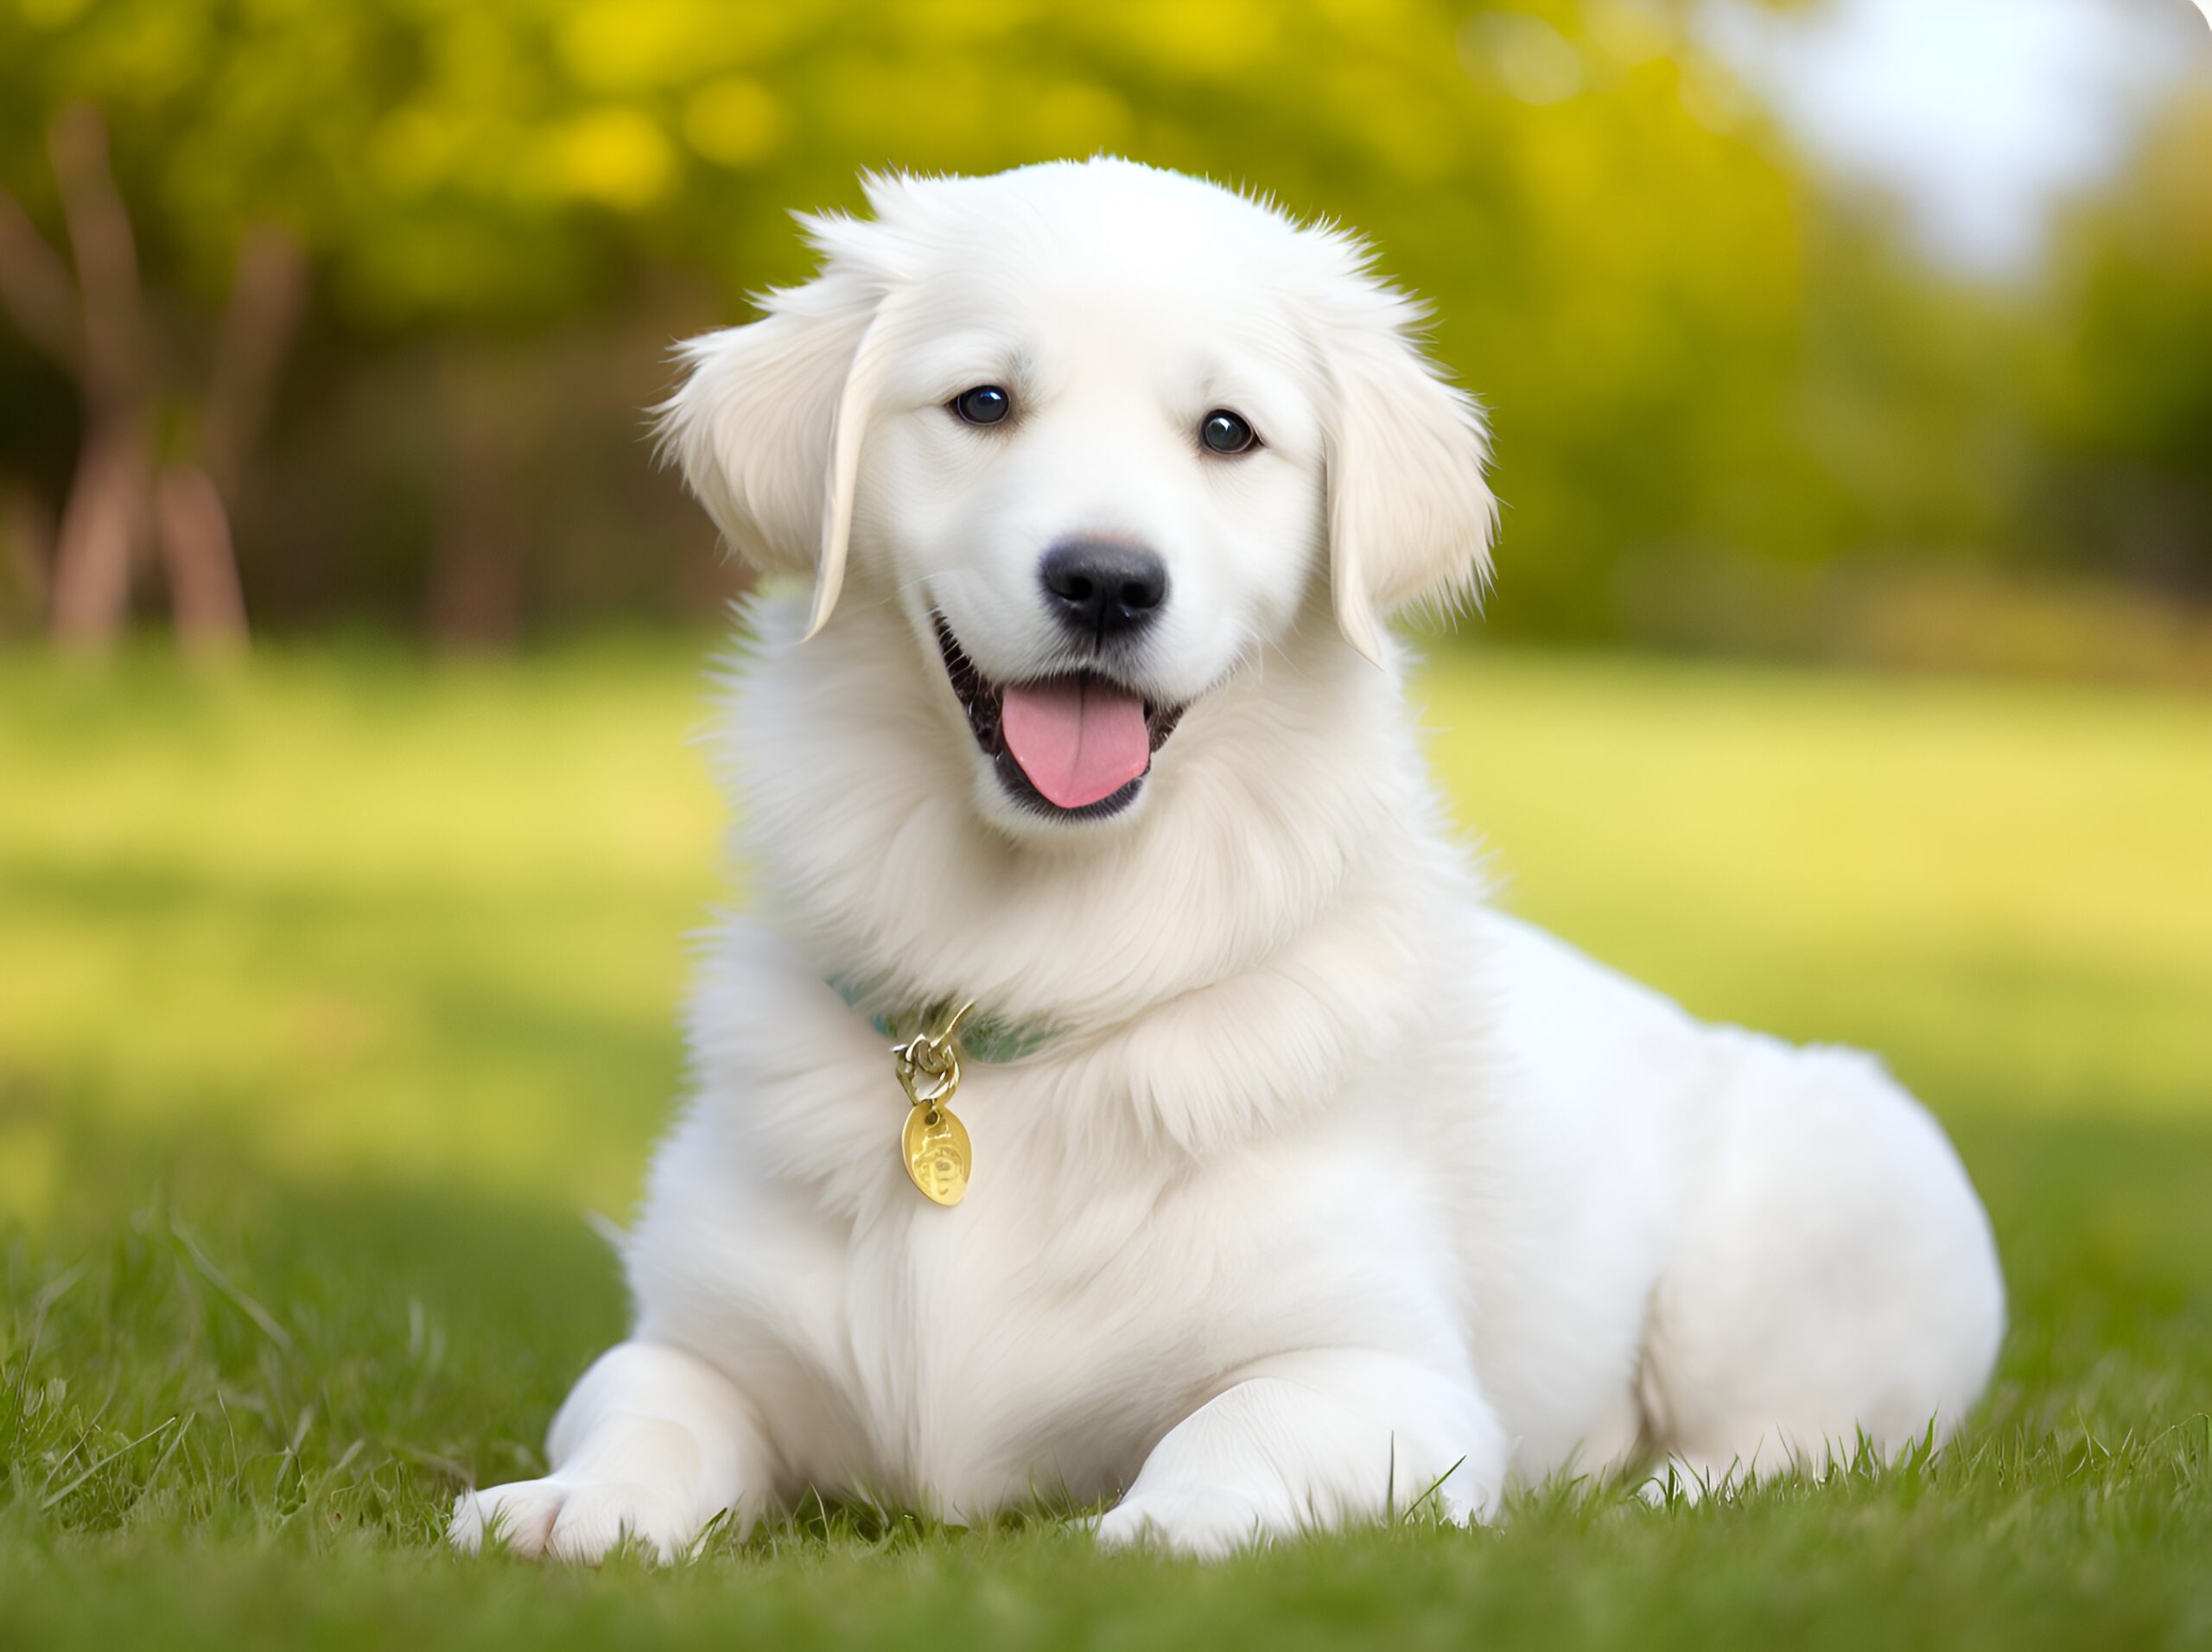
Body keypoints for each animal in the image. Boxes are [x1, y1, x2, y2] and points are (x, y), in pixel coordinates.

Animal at [448, 155, 2008, 1566]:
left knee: (1802, 1449)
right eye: (983, 403)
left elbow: (1236, 1426)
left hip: (1845, 1173)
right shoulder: (698, 1332)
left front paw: (1155, 1528)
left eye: (1227, 431)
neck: (1038, 966)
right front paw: (576, 1506)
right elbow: (648, 1407)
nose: (1106, 580)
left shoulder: (1384, 1375)